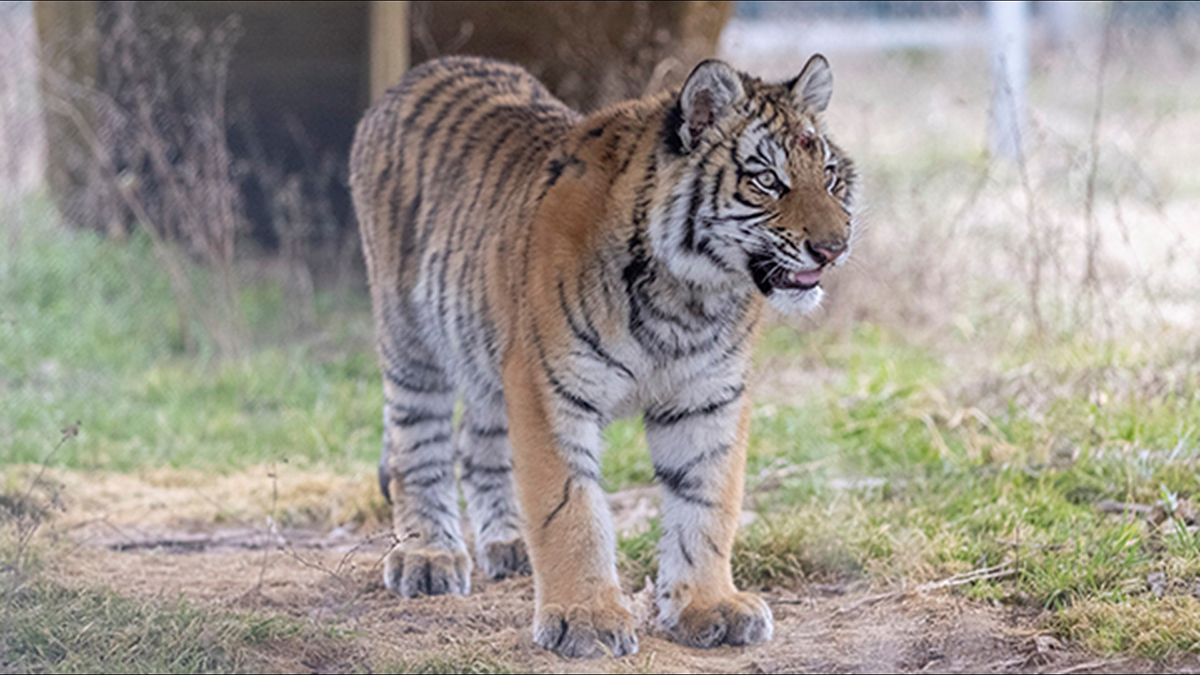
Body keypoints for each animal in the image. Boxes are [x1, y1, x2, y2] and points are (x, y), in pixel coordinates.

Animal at [350, 55, 859, 653]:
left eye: (829, 176)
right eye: (767, 181)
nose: (835, 247)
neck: (689, 296)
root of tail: (416, 76)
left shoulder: (707, 396)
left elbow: (709, 501)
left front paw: (708, 605)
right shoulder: (548, 386)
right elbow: (570, 508)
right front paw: (585, 619)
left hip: (486, 351)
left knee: (477, 447)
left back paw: (509, 544)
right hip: (410, 339)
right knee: (418, 443)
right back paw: (428, 555)